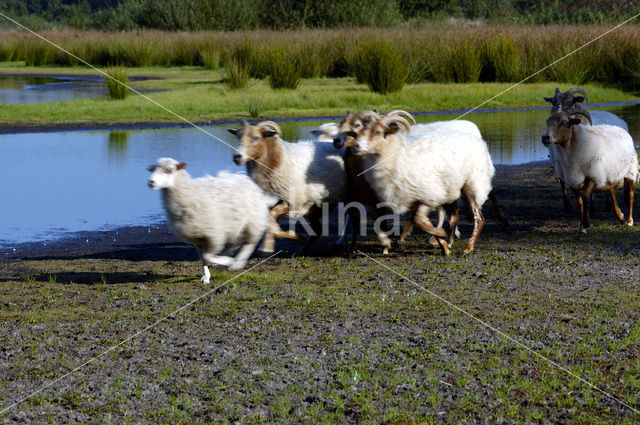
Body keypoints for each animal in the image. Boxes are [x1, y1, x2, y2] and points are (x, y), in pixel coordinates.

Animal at [228, 119, 342, 253]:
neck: (279, 159)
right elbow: (272, 214)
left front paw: (288, 237)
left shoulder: (298, 199)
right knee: (317, 230)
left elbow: (278, 215)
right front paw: (289, 238)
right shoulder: (284, 196)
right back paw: (302, 250)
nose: (237, 157)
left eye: (256, 138)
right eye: (238, 137)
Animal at [350, 113, 496, 255]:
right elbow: (419, 221)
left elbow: (419, 220)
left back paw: (467, 248)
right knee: (455, 216)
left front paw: (440, 237)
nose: (355, 146)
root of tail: (478, 141)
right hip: (452, 189)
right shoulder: (417, 198)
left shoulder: (429, 195)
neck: (394, 153)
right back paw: (450, 241)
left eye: (377, 132)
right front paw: (443, 245)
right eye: (362, 129)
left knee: (479, 219)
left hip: (474, 185)